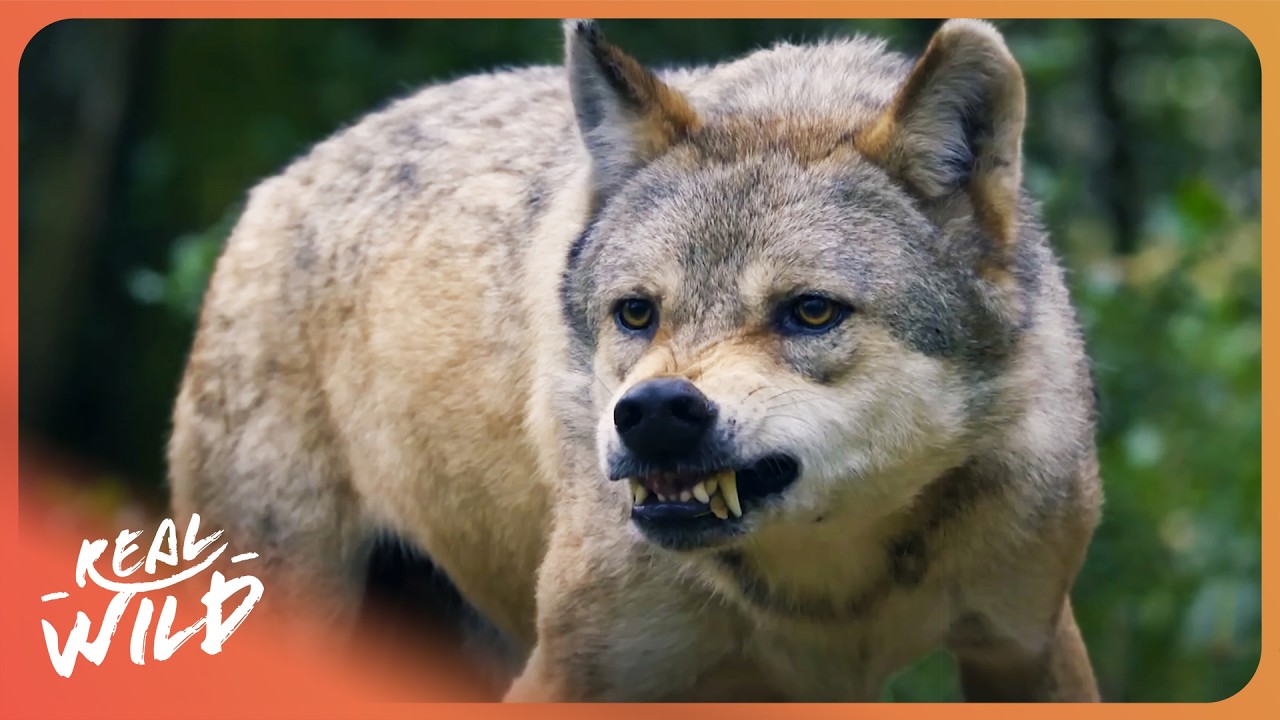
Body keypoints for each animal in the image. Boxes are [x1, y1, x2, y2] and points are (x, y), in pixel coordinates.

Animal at [167, 18, 1104, 701]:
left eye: (809, 312)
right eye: (636, 313)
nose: (654, 412)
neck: (829, 597)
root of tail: (277, 185)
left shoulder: (1027, 646)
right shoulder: (571, 672)